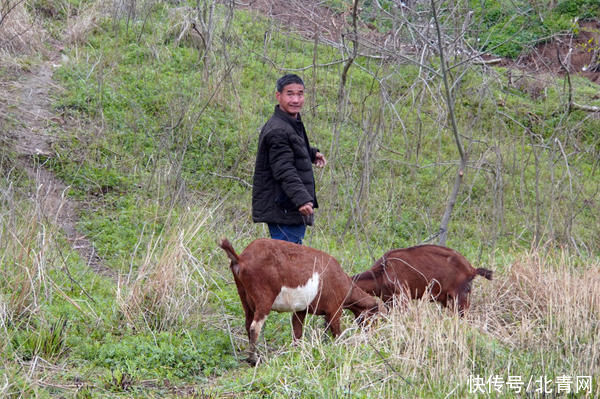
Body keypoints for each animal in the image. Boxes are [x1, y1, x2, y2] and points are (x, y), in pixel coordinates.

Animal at [220, 239, 380, 368]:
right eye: (374, 317)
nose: (374, 335)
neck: (344, 283)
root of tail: (241, 259)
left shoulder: (301, 310)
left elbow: (297, 331)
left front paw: (297, 351)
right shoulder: (335, 309)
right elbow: (336, 332)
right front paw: (340, 348)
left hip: (244, 297)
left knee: (248, 324)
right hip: (263, 298)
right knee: (255, 327)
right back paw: (254, 359)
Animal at [352, 245, 492, 318]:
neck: (382, 272)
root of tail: (471, 269)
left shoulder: (403, 297)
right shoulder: (388, 300)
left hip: (460, 297)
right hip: (448, 299)